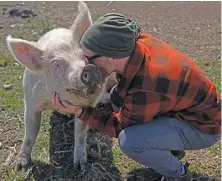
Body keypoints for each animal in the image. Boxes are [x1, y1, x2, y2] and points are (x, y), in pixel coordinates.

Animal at [6, 1, 117, 171]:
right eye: (57, 64)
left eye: (85, 57)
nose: (89, 69)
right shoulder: (30, 101)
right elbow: (30, 133)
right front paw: (21, 167)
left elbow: (80, 133)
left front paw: (80, 167)